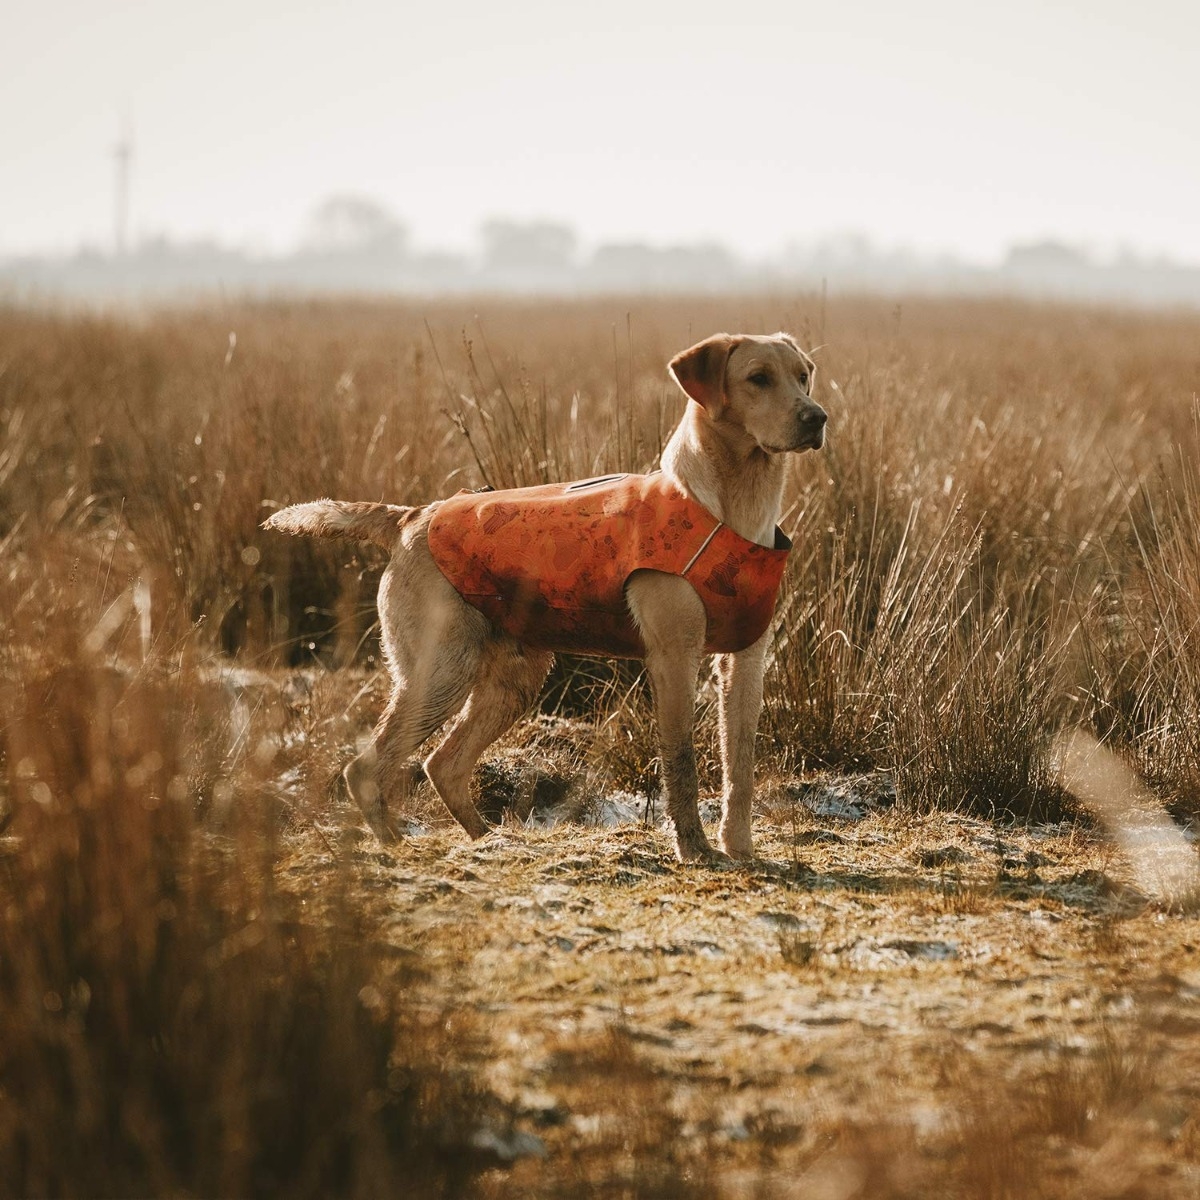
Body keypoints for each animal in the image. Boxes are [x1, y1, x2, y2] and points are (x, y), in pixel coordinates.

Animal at [265, 333, 825, 859]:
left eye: (803, 376)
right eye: (758, 378)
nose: (817, 418)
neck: (730, 509)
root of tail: (411, 516)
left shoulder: (745, 660)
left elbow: (740, 763)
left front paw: (740, 847)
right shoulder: (673, 656)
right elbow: (681, 761)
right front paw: (694, 848)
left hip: (514, 680)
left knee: (443, 763)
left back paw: (488, 840)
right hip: (442, 670)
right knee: (366, 767)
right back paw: (394, 845)